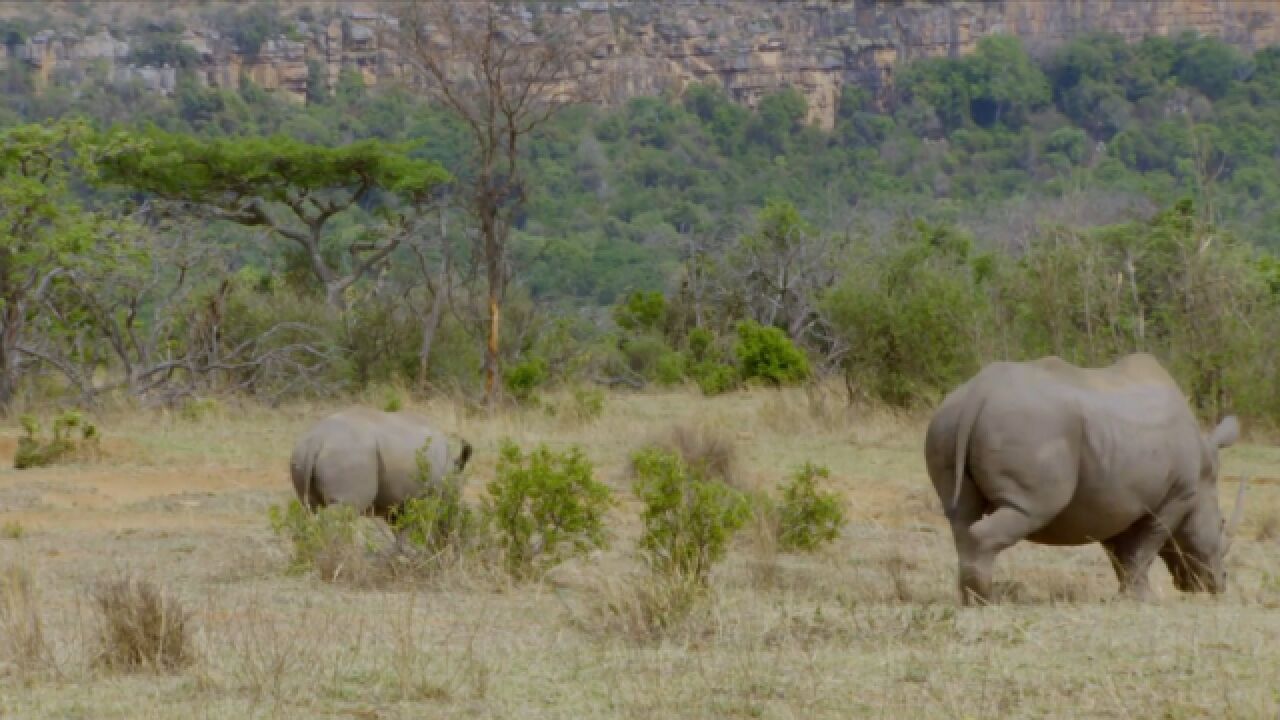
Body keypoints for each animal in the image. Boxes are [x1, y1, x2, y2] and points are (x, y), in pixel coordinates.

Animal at [288, 407, 473, 517]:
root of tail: (316, 440)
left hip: (301, 454)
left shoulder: (397, 505)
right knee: (343, 511)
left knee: (311, 509)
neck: (451, 468)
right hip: (348, 454)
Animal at [926, 351, 1244, 602]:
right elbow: (1146, 546)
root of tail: (978, 393)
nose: (1220, 584)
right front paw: (1146, 600)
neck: (1204, 469)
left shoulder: (1112, 501)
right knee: (1031, 509)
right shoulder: (1177, 496)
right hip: (1033, 427)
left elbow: (1123, 553)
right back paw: (986, 601)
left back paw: (971, 599)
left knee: (961, 517)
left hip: (947, 419)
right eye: (1221, 524)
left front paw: (1126, 596)